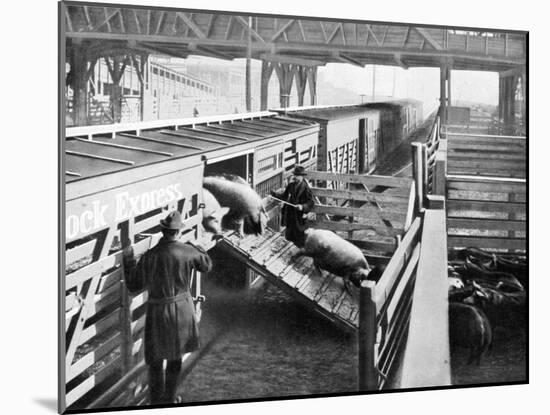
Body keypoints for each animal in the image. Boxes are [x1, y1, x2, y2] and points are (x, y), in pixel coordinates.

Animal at [218, 228, 368, 332]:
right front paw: (350, 292)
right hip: (309, 250)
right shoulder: (347, 272)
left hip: (314, 253)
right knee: (302, 253)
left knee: (315, 262)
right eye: (363, 278)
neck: (359, 267)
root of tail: (312, 231)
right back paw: (294, 260)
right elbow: (346, 281)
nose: (360, 286)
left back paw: (320, 274)